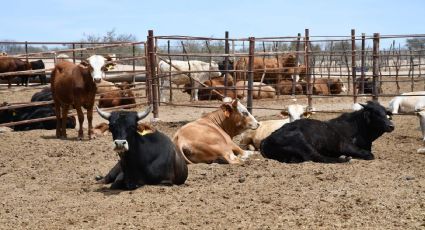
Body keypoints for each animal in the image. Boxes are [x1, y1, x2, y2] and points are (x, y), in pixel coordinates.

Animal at [258, 101, 394, 164]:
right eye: (376, 114)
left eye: (386, 113)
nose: (391, 126)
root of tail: (265, 140)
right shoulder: (345, 145)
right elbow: (369, 155)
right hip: (302, 142)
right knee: (317, 157)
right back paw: (344, 159)